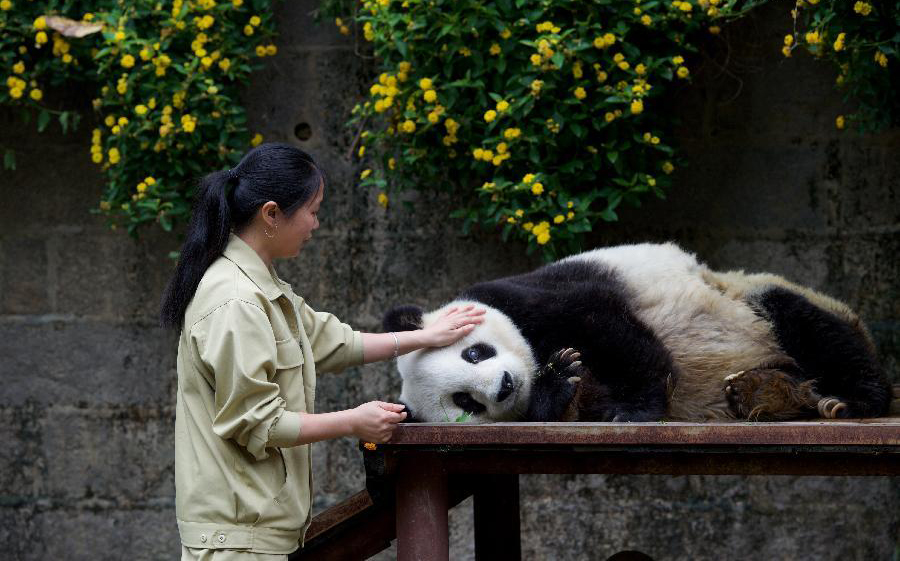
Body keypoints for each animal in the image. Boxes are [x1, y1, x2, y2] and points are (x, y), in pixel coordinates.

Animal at [382, 243, 892, 422]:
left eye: (473, 354)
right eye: (465, 403)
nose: (506, 386)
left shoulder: (532, 296)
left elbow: (606, 324)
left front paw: (636, 408)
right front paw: (559, 383)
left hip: (746, 299)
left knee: (807, 321)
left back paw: (852, 399)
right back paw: (760, 393)